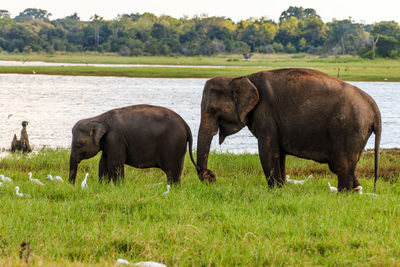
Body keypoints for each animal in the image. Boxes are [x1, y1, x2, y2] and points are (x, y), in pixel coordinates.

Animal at [197, 68, 382, 192]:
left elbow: (267, 150)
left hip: (349, 128)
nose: (211, 177)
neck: (244, 77)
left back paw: (343, 194)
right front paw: (281, 189)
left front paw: (274, 191)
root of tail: (373, 105)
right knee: (345, 166)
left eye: (212, 110)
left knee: (341, 165)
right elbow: (280, 153)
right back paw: (356, 192)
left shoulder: (266, 114)